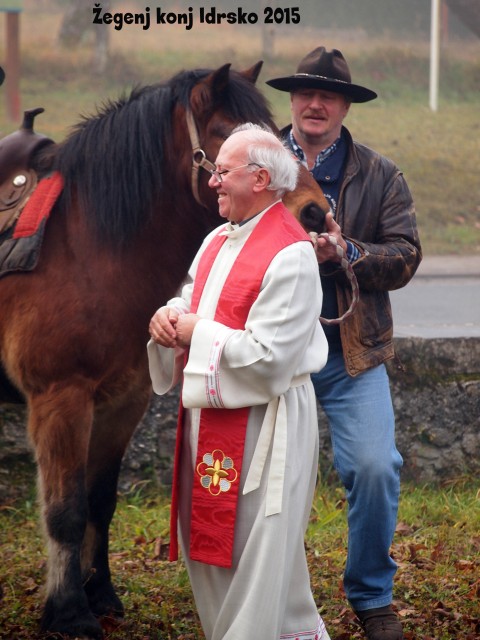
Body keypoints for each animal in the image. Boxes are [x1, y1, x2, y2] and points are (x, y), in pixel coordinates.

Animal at [0, 61, 330, 640]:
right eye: (225, 132)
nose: (314, 211)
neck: (86, 250)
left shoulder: (120, 402)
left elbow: (99, 501)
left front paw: (100, 594)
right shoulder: (60, 400)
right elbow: (65, 509)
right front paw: (68, 611)